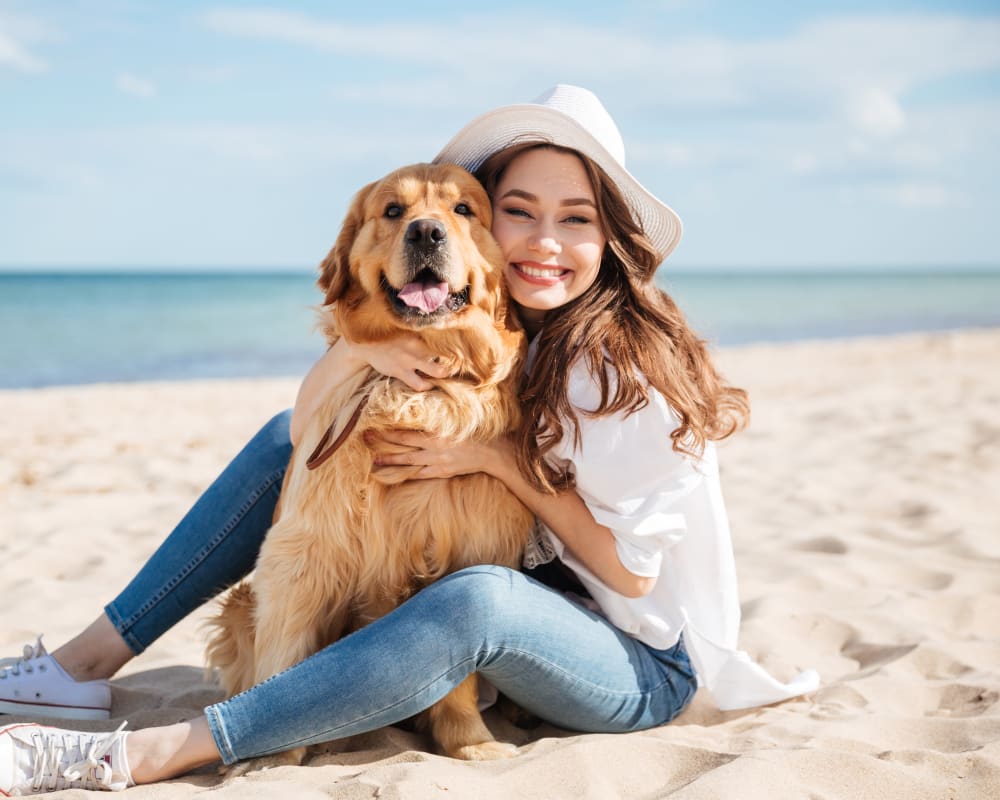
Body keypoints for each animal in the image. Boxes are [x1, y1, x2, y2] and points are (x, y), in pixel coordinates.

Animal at [205, 162, 540, 764]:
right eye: (392, 211)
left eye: (463, 210)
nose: (426, 232)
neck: (419, 383)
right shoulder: (304, 552)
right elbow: (285, 663)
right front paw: (272, 760)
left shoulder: (470, 551)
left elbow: (462, 673)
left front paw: (470, 742)